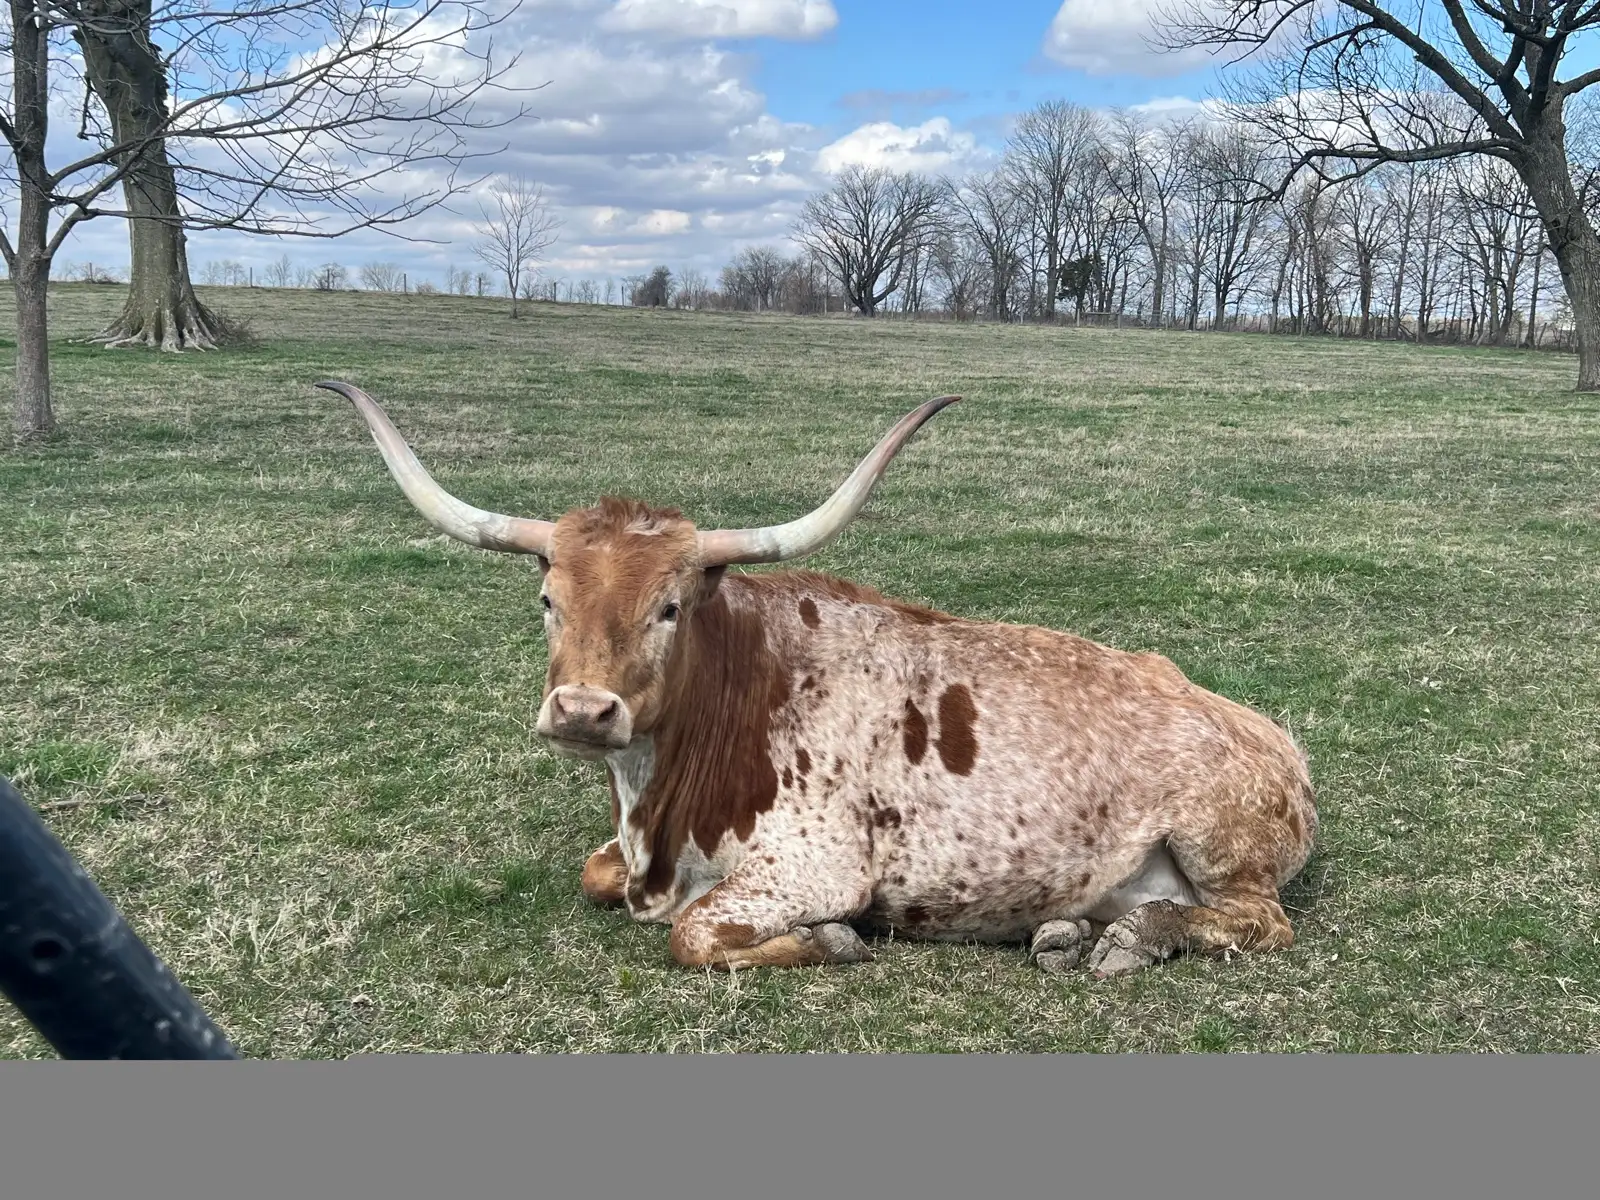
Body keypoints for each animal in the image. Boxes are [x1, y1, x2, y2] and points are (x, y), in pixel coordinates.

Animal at [319, 380, 1317, 979]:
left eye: (670, 607)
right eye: (547, 598)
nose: (582, 711)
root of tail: (1274, 737)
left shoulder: (810, 865)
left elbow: (694, 932)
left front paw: (831, 939)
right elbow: (593, 874)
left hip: (1220, 847)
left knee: (1261, 922)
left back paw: (1133, 941)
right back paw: (1071, 930)